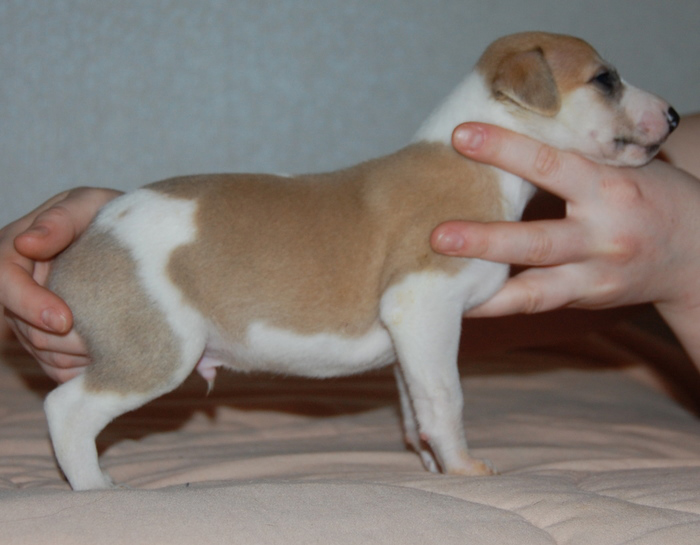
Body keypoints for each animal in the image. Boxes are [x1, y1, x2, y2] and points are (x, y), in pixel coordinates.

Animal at [44, 32, 679, 490]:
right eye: (605, 79)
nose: (674, 115)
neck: (473, 160)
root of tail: (79, 250)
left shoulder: (412, 338)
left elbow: (417, 404)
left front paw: (433, 464)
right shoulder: (424, 304)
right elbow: (447, 398)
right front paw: (464, 470)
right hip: (157, 353)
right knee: (65, 409)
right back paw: (95, 487)